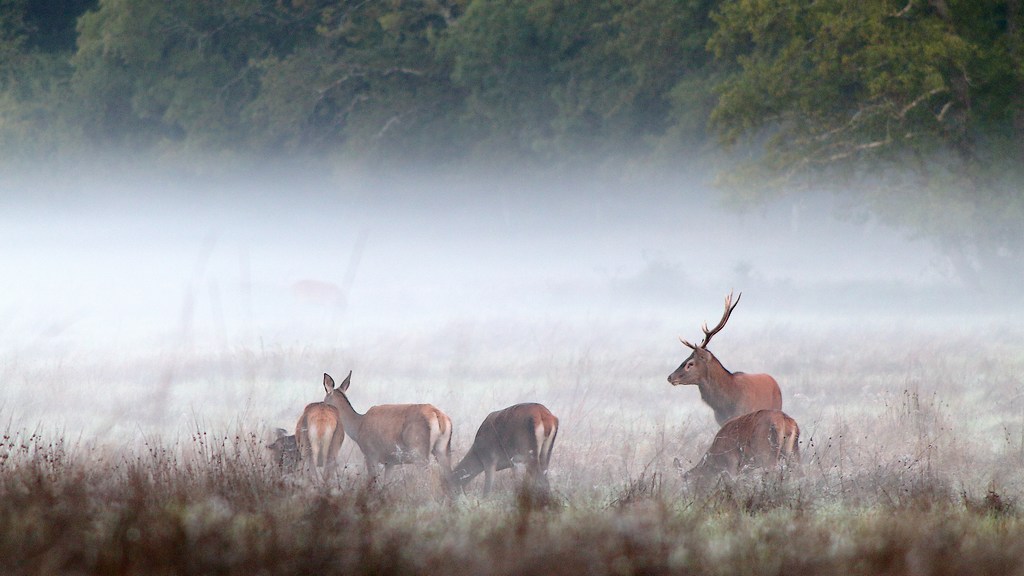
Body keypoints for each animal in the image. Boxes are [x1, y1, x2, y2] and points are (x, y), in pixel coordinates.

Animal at [322, 371, 453, 485]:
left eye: (324, 400)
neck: (358, 427)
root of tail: (438, 416)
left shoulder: (371, 454)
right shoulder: (390, 461)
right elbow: (386, 484)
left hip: (419, 452)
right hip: (442, 449)